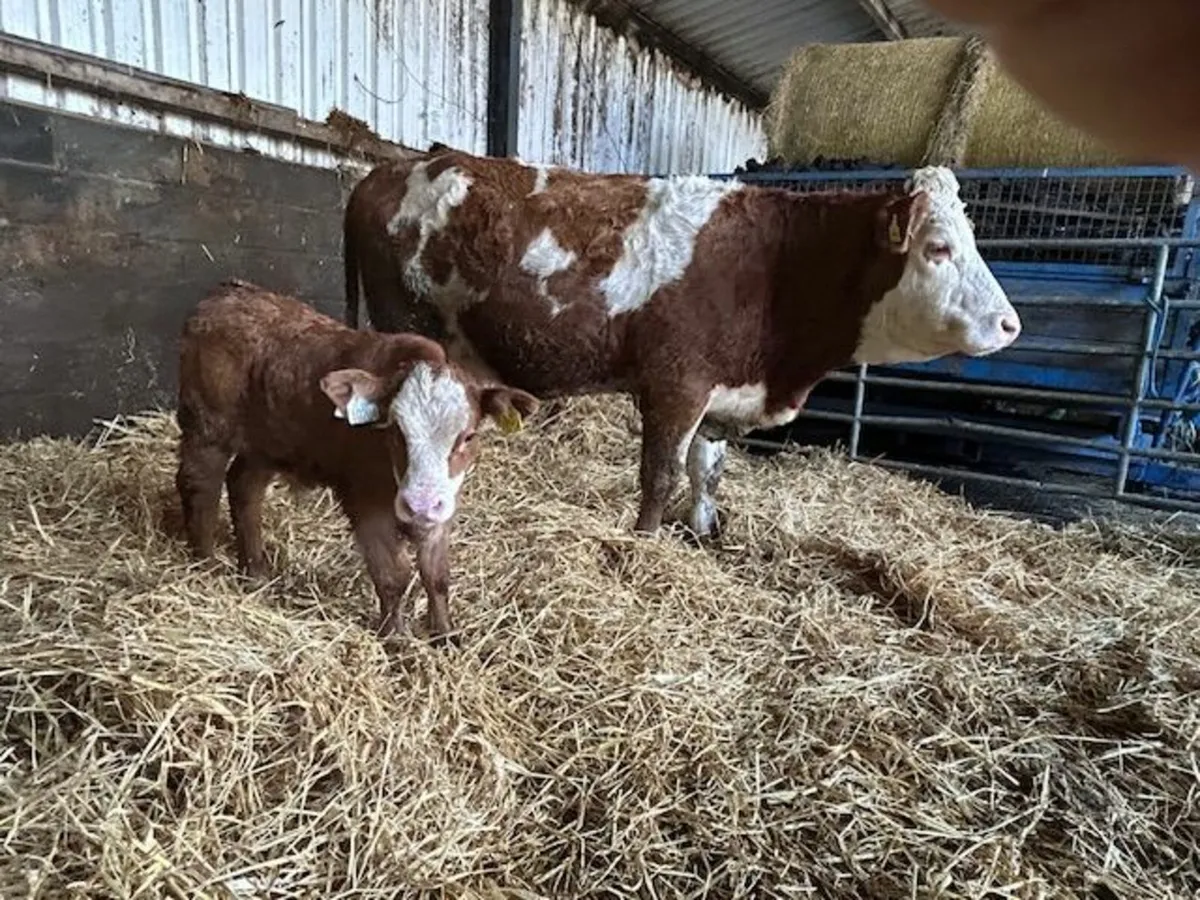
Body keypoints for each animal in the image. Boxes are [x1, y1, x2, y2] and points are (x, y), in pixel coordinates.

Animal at [175, 279, 538, 643]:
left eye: (468, 436)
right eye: (395, 429)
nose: (419, 504)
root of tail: (229, 292)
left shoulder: (442, 508)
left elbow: (436, 576)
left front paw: (445, 635)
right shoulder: (365, 504)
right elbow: (393, 577)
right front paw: (396, 640)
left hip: (268, 443)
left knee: (244, 487)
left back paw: (256, 572)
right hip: (208, 427)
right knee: (200, 486)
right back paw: (206, 565)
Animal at [341, 151, 1020, 539]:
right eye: (939, 248)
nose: (1010, 325)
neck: (780, 268)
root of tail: (392, 169)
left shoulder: (723, 394)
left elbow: (707, 470)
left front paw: (704, 531)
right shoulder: (676, 385)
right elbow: (661, 475)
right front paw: (645, 542)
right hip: (409, 324)